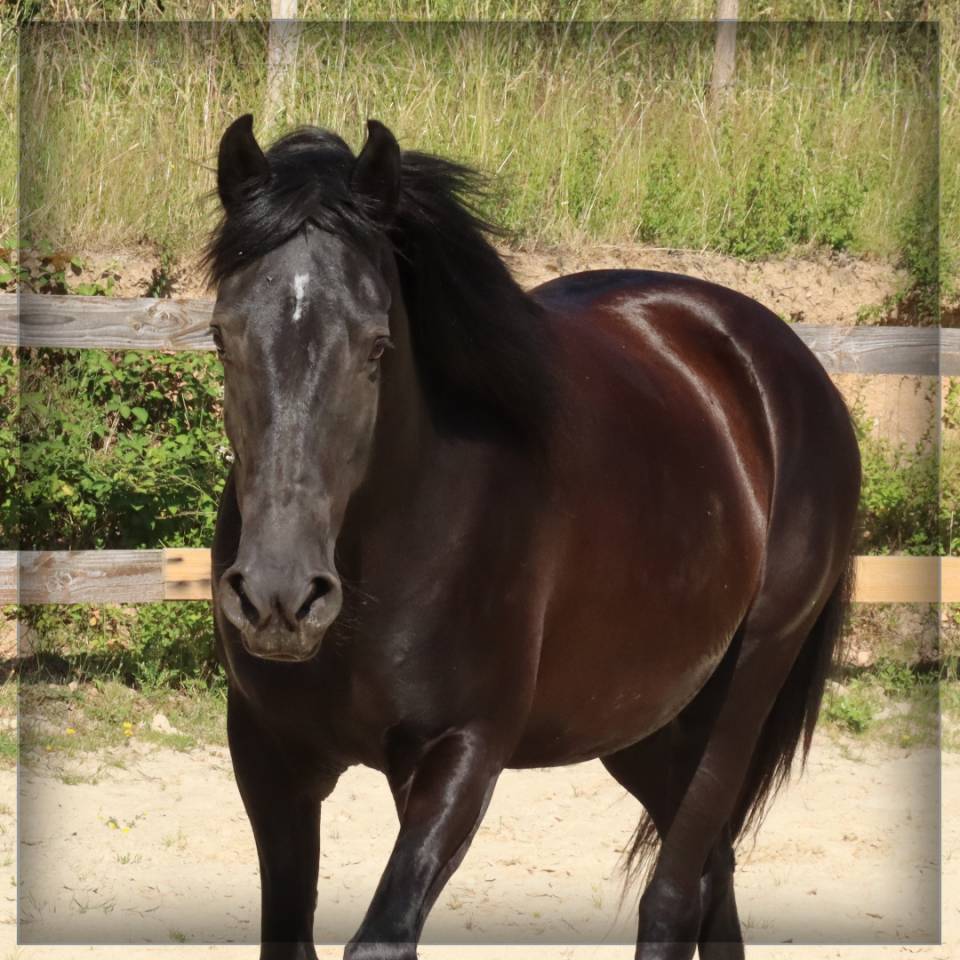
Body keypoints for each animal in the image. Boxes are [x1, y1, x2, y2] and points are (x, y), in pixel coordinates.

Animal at [204, 114, 860, 960]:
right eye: (222, 337)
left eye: (377, 346)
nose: (280, 599)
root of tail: (787, 364)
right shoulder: (269, 754)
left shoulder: (463, 752)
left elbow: (382, 937)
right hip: (642, 720)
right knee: (716, 877)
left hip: (745, 687)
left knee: (674, 895)